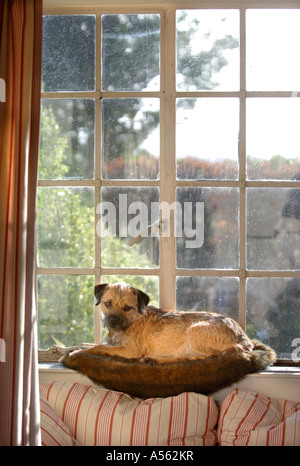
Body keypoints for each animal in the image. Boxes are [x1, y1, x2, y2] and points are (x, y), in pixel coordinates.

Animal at [66, 280, 253, 364]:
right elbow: (91, 344)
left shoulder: (129, 350)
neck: (134, 319)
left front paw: (77, 353)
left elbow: (98, 347)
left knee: (203, 357)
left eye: (127, 308)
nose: (112, 320)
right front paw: (75, 347)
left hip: (194, 330)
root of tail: (244, 338)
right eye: (107, 304)